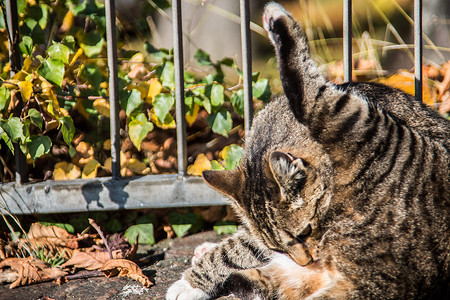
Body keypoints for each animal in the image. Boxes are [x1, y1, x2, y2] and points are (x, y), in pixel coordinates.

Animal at [166, 2, 450, 300]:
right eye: (282, 243)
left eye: (304, 232)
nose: (309, 260)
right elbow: (245, 243)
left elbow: (235, 248)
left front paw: (191, 283)